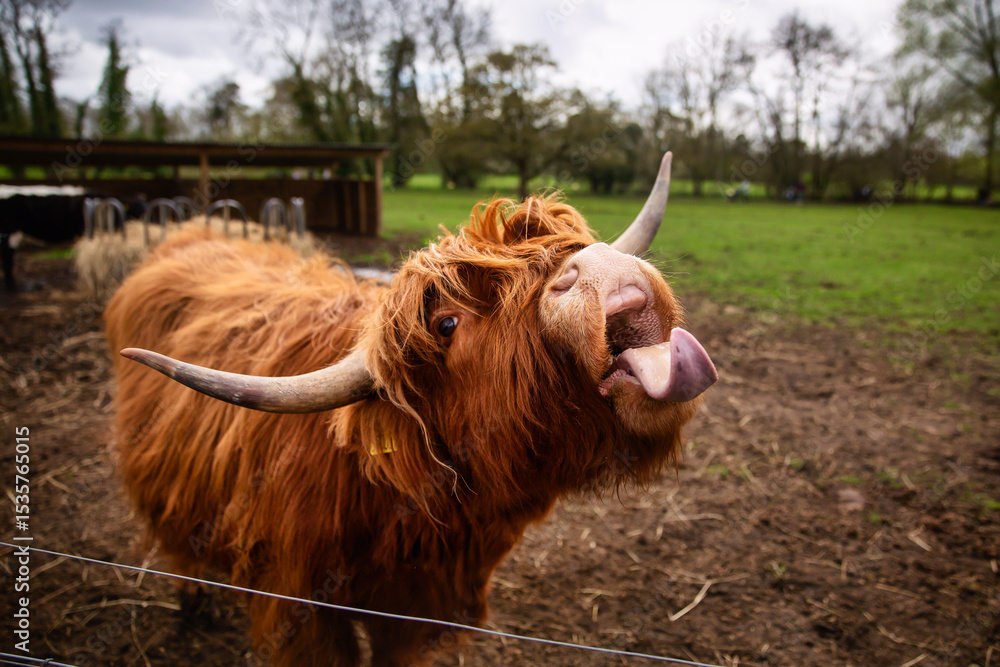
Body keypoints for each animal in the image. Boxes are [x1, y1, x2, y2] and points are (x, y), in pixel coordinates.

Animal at [106, 152, 718, 666]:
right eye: (446, 323)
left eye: (571, 239)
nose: (598, 266)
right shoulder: (302, 609)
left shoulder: (417, 609)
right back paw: (194, 603)